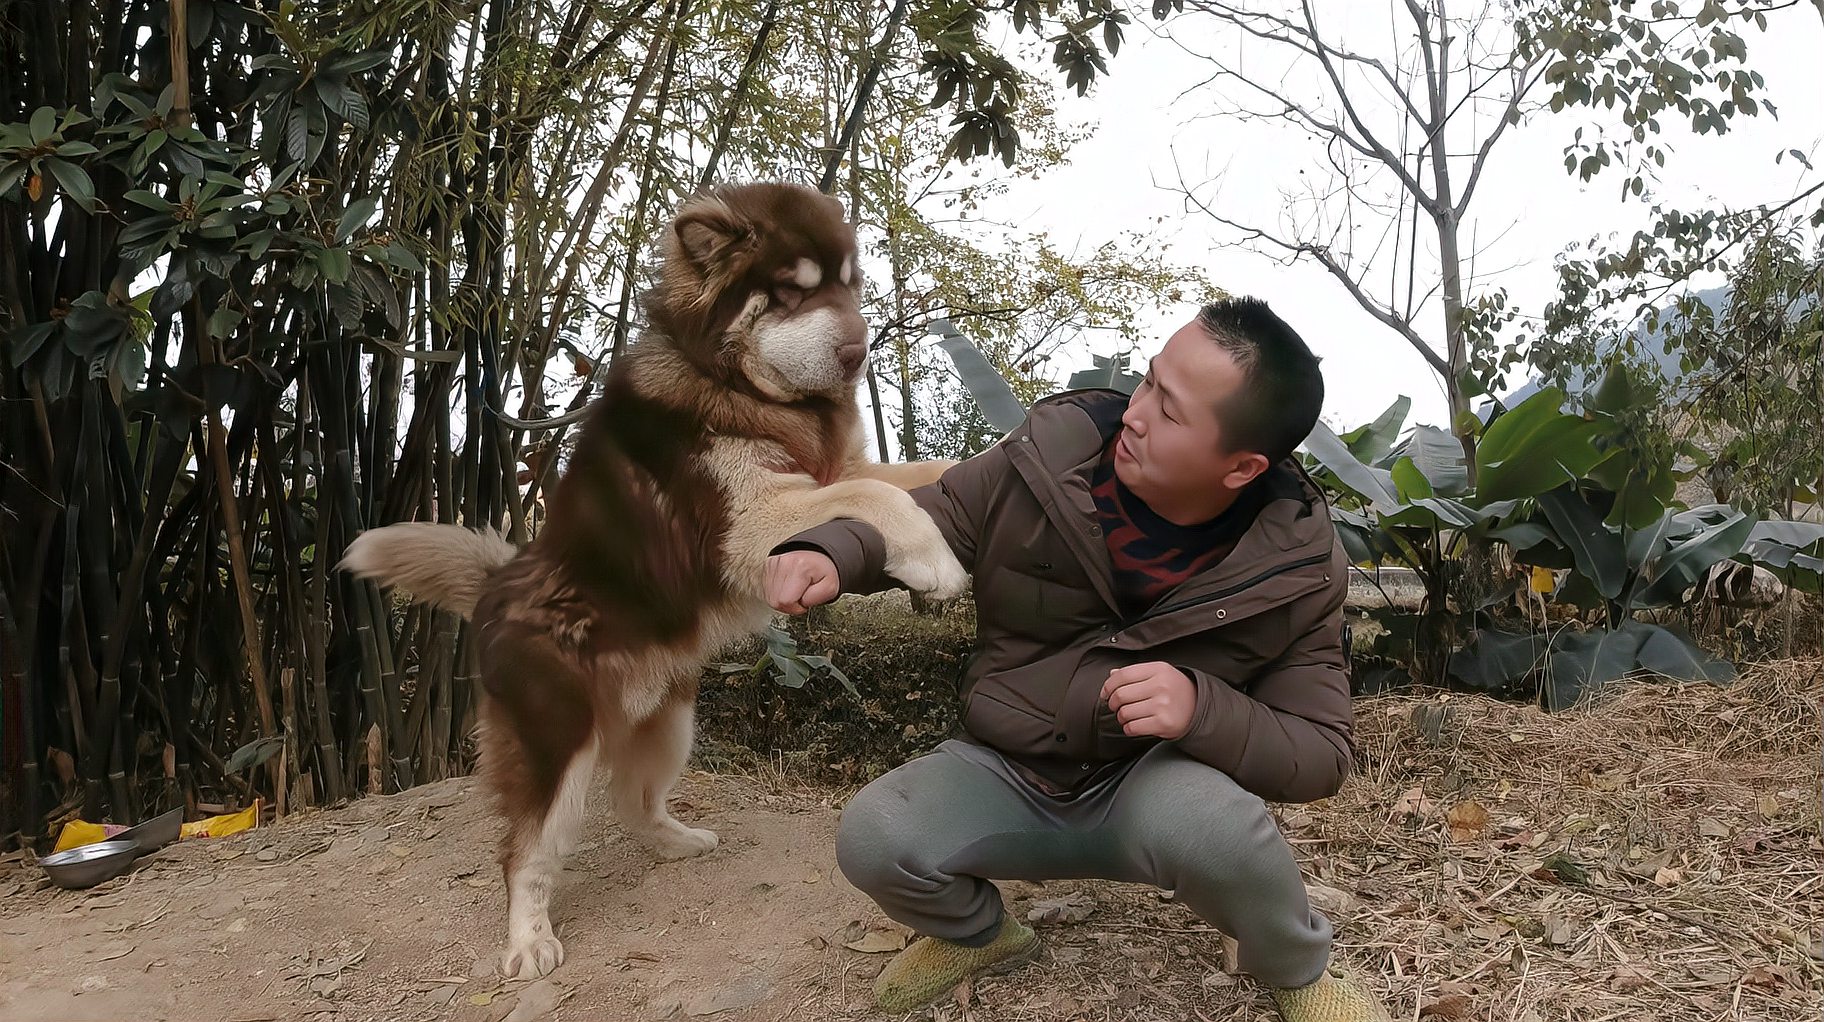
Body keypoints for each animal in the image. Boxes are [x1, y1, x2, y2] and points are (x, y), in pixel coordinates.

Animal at [342, 183, 970, 985]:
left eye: (849, 285)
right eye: (791, 292)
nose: (859, 353)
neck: (734, 381)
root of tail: (503, 576)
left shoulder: (838, 470)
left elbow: (932, 472)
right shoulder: (748, 526)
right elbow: (881, 498)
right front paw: (934, 560)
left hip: (670, 718)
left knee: (634, 803)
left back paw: (677, 843)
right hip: (558, 742)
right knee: (523, 852)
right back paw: (528, 940)